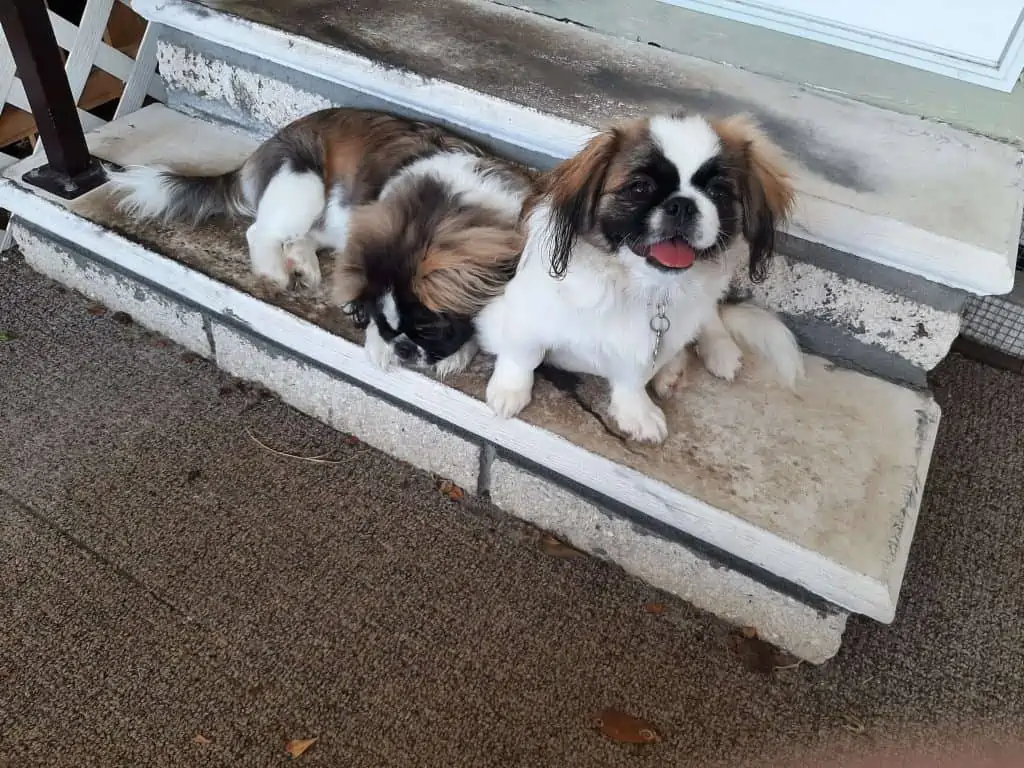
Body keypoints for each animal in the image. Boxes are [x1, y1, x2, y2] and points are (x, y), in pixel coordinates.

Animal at [475, 111, 802, 442]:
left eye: (718, 193)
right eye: (639, 187)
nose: (683, 205)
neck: (638, 285)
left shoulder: (645, 348)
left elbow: (632, 379)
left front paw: (637, 413)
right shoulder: (520, 314)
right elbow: (523, 355)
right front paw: (509, 392)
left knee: (710, 318)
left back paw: (714, 354)